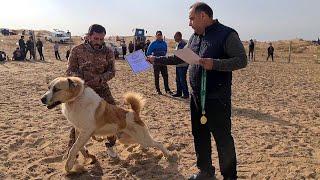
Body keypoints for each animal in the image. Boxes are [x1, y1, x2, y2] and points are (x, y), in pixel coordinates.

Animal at [41, 76, 171, 172]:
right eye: (49, 87)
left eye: (56, 89)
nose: (42, 99)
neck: (76, 100)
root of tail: (134, 113)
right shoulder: (79, 131)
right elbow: (79, 147)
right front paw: (88, 156)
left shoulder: (86, 132)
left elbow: (74, 148)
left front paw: (68, 165)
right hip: (127, 138)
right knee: (144, 143)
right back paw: (141, 148)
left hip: (141, 137)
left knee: (158, 143)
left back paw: (168, 155)